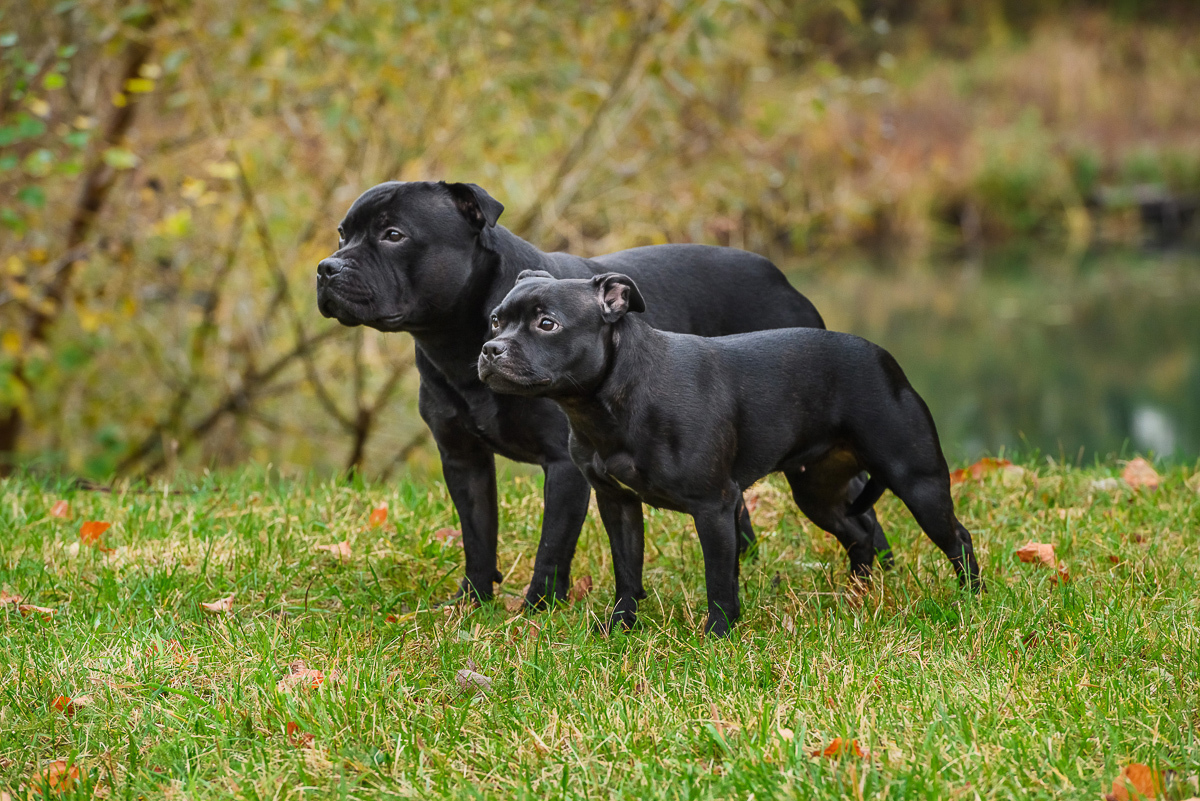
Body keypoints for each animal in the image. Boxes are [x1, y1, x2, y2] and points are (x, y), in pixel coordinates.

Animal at [314, 179, 897, 606]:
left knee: (862, 507)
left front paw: (536, 611)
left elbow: (553, 546)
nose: (326, 267)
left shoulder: (565, 466)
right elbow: (478, 537)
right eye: (342, 235)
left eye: (393, 235)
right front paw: (472, 604)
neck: (455, 341)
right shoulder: (463, 458)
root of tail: (781, 278)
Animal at [477, 272, 984, 633]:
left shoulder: (714, 506)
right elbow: (627, 571)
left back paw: (970, 599)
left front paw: (718, 635)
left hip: (916, 479)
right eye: (496, 320)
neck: (611, 399)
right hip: (817, 491)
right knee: (858, 532)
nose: (489, 348)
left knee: (957, 537)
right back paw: (857, 595)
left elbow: (719, 579)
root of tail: (885, 358)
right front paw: (619, 627)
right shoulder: (616, 502)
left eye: (547, 323)